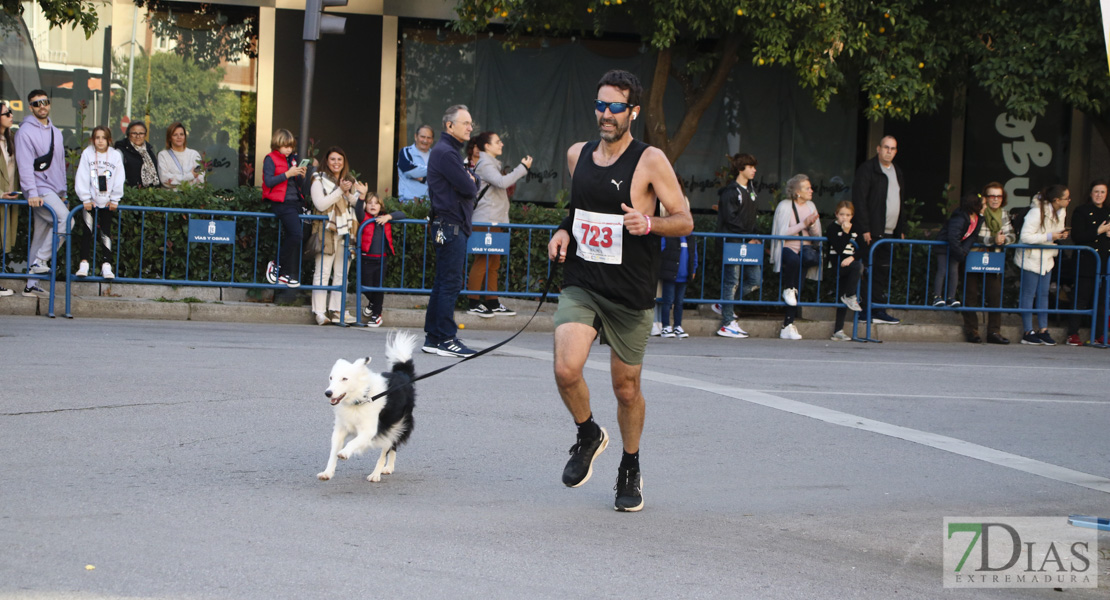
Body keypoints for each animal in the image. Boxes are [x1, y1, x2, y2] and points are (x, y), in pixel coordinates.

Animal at [319, 332, 417, 481]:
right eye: (331, 378)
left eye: (345, 379)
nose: (328, 393)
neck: (361, 398)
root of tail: (403, 375)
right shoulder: (340, 429)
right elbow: (333, 452)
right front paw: (327, 473)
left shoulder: (369, 430)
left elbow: (353, 443)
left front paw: (344, 453)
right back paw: (387, 468)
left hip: (395, 425)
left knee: (387, 448)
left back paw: (377, 474)